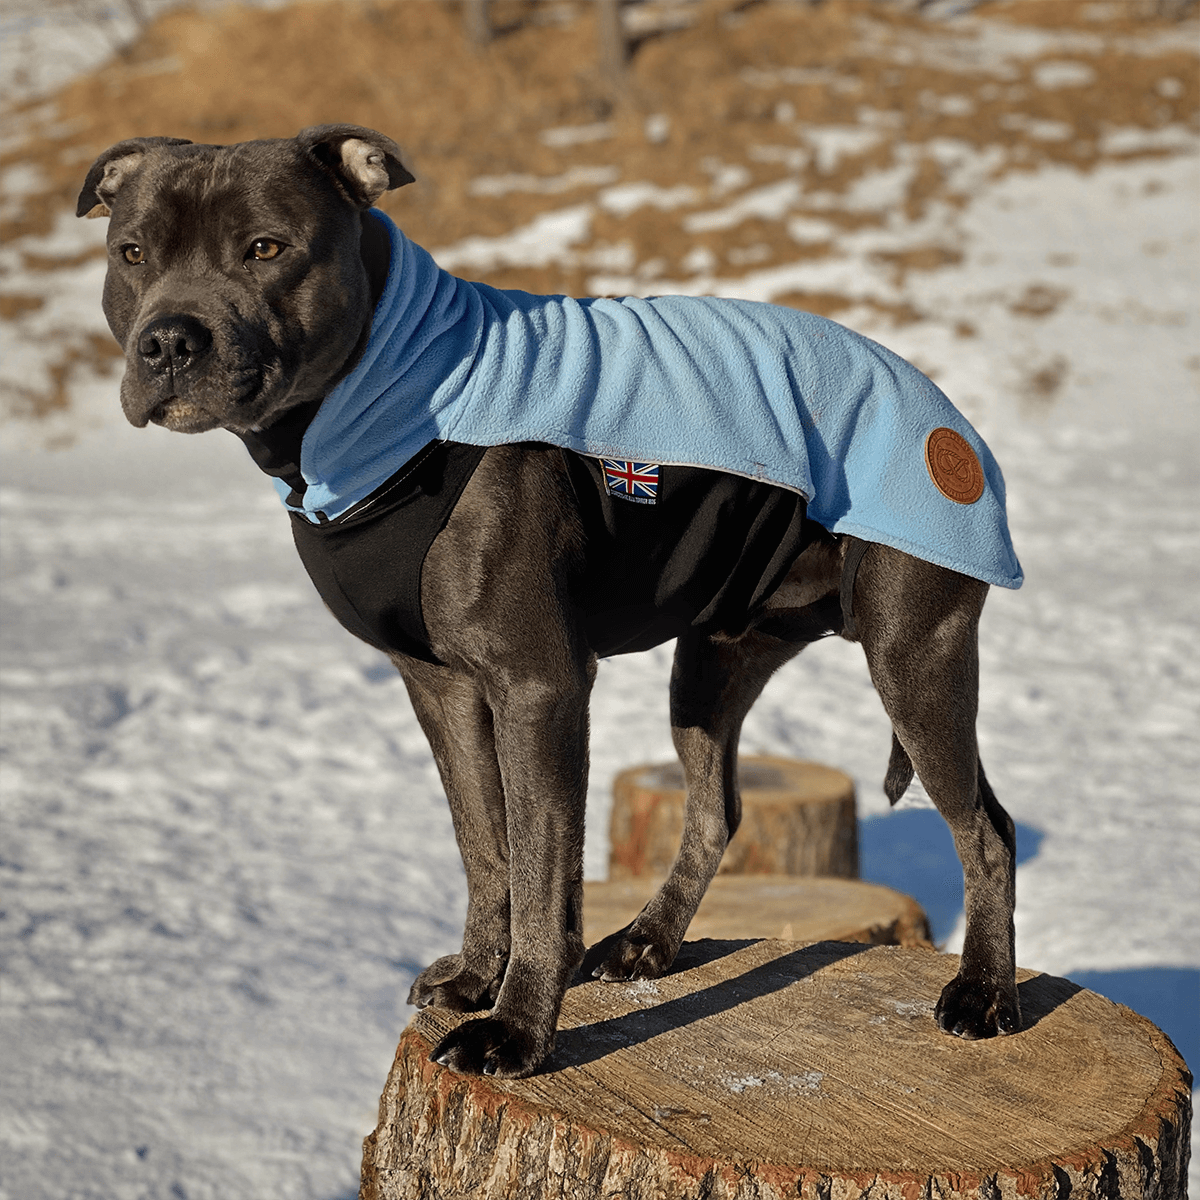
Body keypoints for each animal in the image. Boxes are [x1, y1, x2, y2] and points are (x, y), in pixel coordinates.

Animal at [79, 121, 1027, 1080]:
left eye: (266, 249)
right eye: (132, 253)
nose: (167, 341)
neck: (389, 391)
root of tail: (951, 419)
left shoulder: (537, 684)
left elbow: (541, 866)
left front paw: (517, 1026)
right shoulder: (443, 687)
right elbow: (484, 843)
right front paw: (476, 978)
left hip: (912, 651)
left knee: (986, 827)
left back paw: (983, 993)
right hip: (713, 660)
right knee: (714, 808)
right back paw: (649, 940)